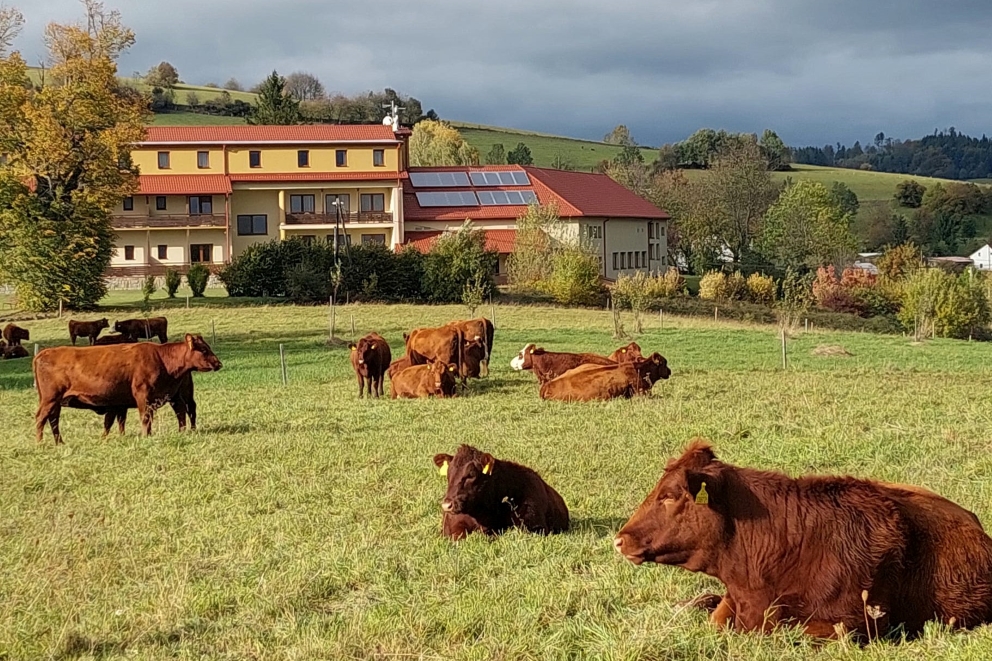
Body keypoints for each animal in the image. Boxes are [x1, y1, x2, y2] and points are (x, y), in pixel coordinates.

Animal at [33, 330, 221, 444]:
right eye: (204, 350)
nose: (218, 363)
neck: (162, 359)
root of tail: (44, 352)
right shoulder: (142, 395)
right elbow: (144, 418)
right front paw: (145, 436)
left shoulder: (168, 395)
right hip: (50, 399)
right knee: (42, 418)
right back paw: (40, 442)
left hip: (54, 402)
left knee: (53, 419)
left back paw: (59, 442)